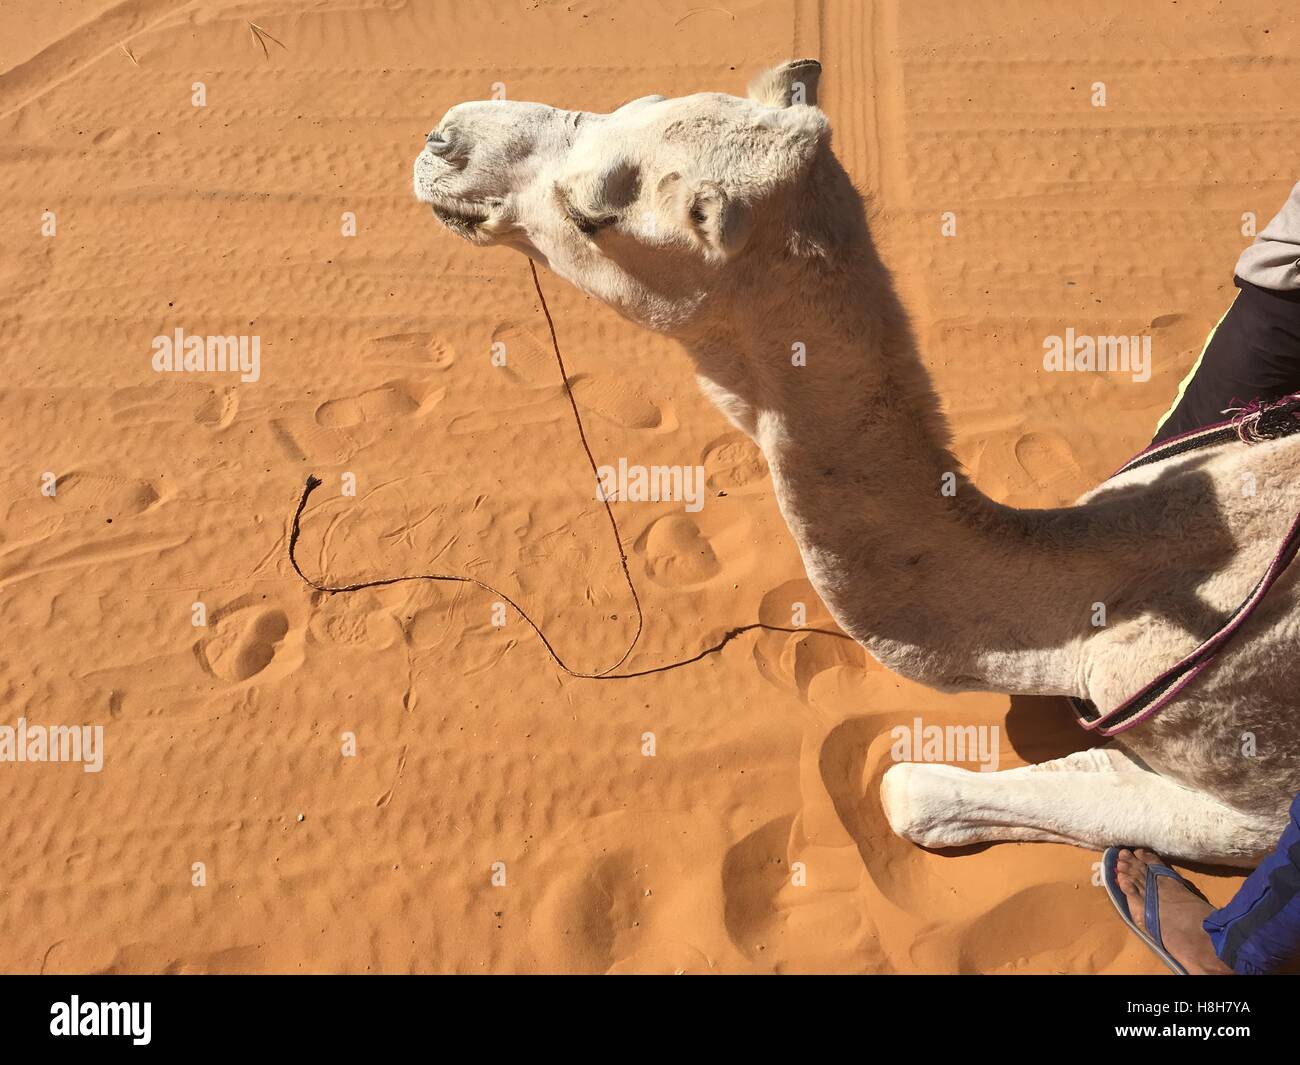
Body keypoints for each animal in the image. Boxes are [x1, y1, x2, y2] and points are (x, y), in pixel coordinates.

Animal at [413, 60, 1300, 866]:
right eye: (633, 100)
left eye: (592, 212)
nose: (445, 137)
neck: (1093, 597)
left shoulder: (1253, 795)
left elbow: (911, 789)